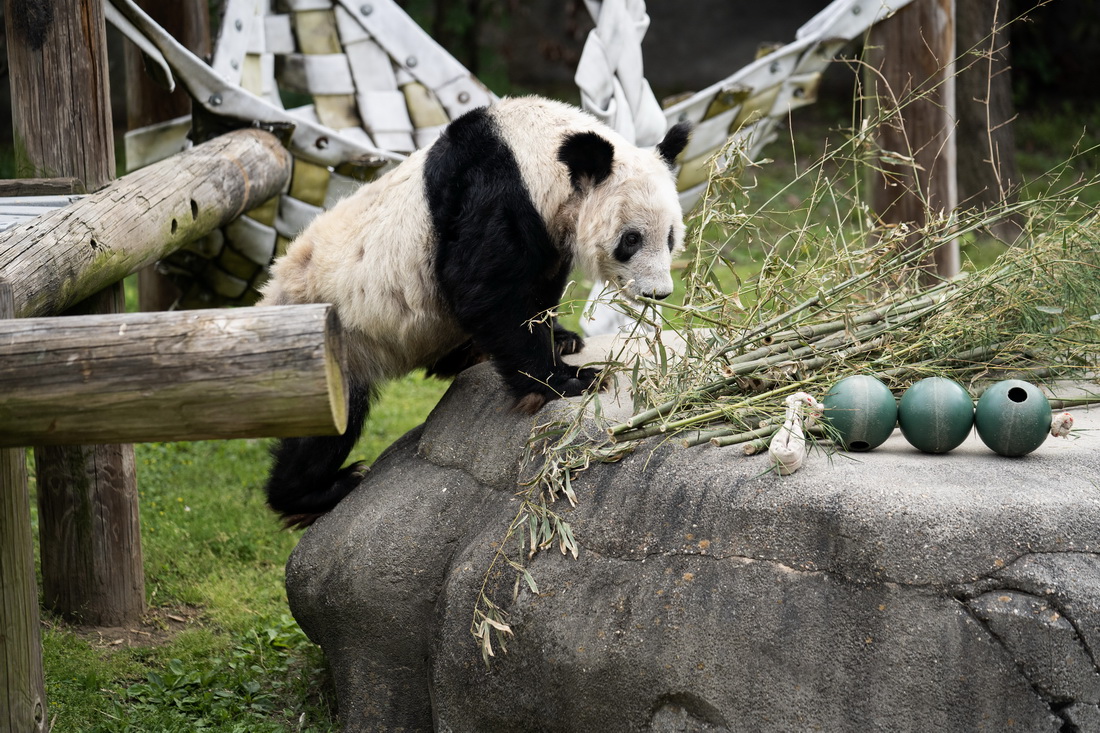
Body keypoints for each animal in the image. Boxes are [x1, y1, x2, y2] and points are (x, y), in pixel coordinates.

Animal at [259, 95, 686, 526]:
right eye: (631, 239)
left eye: (670, 237)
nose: (658, 293)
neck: (534, 150)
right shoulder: (491, 190)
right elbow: (484, 289)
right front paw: (569, 380)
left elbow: (538, 287)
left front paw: (562, 339)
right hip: (334, 338)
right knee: (325, 426)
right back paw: (317, 491)